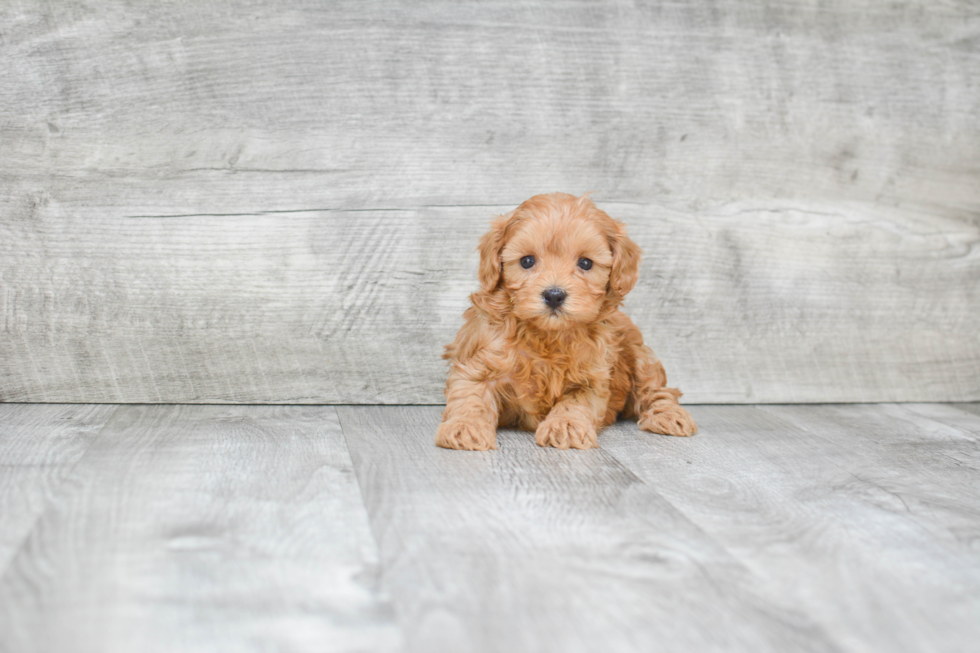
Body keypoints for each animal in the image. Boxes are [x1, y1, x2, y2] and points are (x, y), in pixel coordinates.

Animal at [436, 191, 696, 450]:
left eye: (585, 263)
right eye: (527, 261)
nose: (554, 295)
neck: (548, 336)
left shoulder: (592, 378)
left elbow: (576, 402)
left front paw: (566, 425)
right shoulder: (479, 361)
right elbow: (470, 396)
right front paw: (464, 427)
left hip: (641, 356)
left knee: (657, 391)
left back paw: (669, 415)